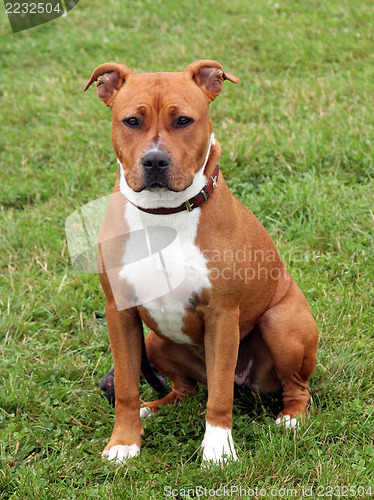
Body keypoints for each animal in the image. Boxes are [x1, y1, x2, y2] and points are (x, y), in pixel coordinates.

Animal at [83, 59, 318, 464]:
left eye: (183, 120)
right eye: (131, 121)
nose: (155, 160)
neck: (163, 214)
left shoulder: (222, 314)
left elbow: (220, 394)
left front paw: (219, 450)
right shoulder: (120, 311)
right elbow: (126, 385)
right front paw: (124, 442)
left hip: (281, 324)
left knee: (293, 387)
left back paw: (291, 418)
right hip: (154, 343)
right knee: (186, 389)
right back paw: (154, 406)